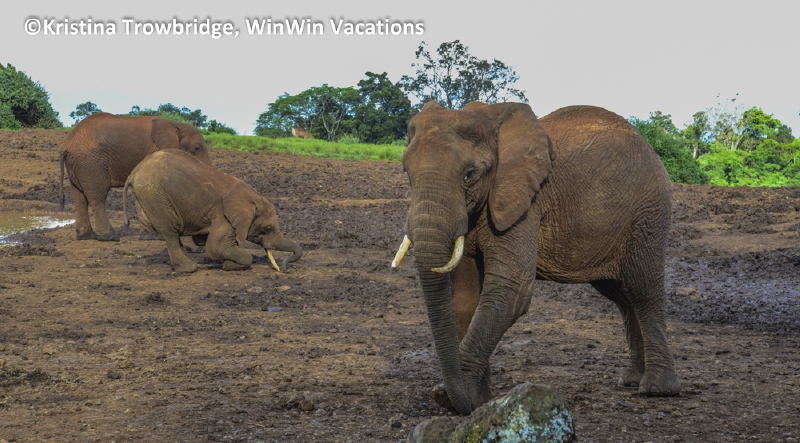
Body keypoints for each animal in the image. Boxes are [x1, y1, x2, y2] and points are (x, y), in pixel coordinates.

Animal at [59, 112, 213, 241]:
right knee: (97, 197)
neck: (177, 125)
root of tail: (66, 144)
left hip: (77, 164)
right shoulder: (154, 151)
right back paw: (110, 237)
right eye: (197, 148)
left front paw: (148, 235)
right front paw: (155, 236)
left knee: (79, 198)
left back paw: (85, 236)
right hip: (91, 164)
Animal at [123, 149, 302, 273]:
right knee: (170, 230)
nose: (283, 269)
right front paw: (229, 265)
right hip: (154, 195)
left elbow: (205, 242)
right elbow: (215, 247)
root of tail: (134, 172)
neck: (251, 198)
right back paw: (189, 268)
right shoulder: (223, 215)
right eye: (267, 229)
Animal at [391, 101, 681, 415]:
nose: (454, 397)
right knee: (622, 296)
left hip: (648, 213)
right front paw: (478, 402)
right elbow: (466, 296)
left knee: (642, 290)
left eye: (469, 175)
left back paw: (657, 389)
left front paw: (454, 397)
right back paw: (630, 380)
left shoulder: (524, 203)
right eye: (406, 171)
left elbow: (511, 289)